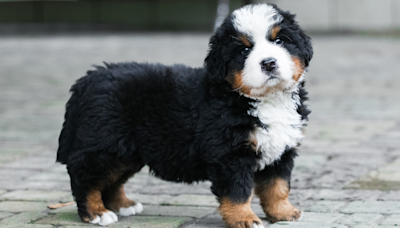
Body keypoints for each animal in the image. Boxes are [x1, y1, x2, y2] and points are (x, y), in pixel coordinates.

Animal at [56, 3, 312, 228]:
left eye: (279, 41)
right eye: (244, 50)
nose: (268, 63)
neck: (264, 100)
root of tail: (90, 78)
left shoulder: (282, 151)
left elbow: (277, 187)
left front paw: (284, 213)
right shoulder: (230, 156)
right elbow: (238, 193)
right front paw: (244, 219)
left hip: (126, 153)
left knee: (112, 180)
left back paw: (123, 205)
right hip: (104, 146)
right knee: (85, 177)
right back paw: (96, 213)